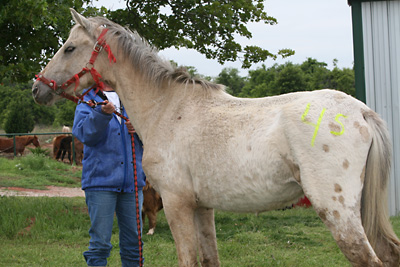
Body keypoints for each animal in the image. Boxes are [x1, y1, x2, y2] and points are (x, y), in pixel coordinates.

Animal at [32, 9, 400, 266]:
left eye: (69, 48)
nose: (37, 88)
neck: (166, 107)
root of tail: (361, 112)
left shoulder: (177, 204)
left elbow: (188, 259)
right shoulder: (202, 207)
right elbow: (210, 258)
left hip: (338, 212)